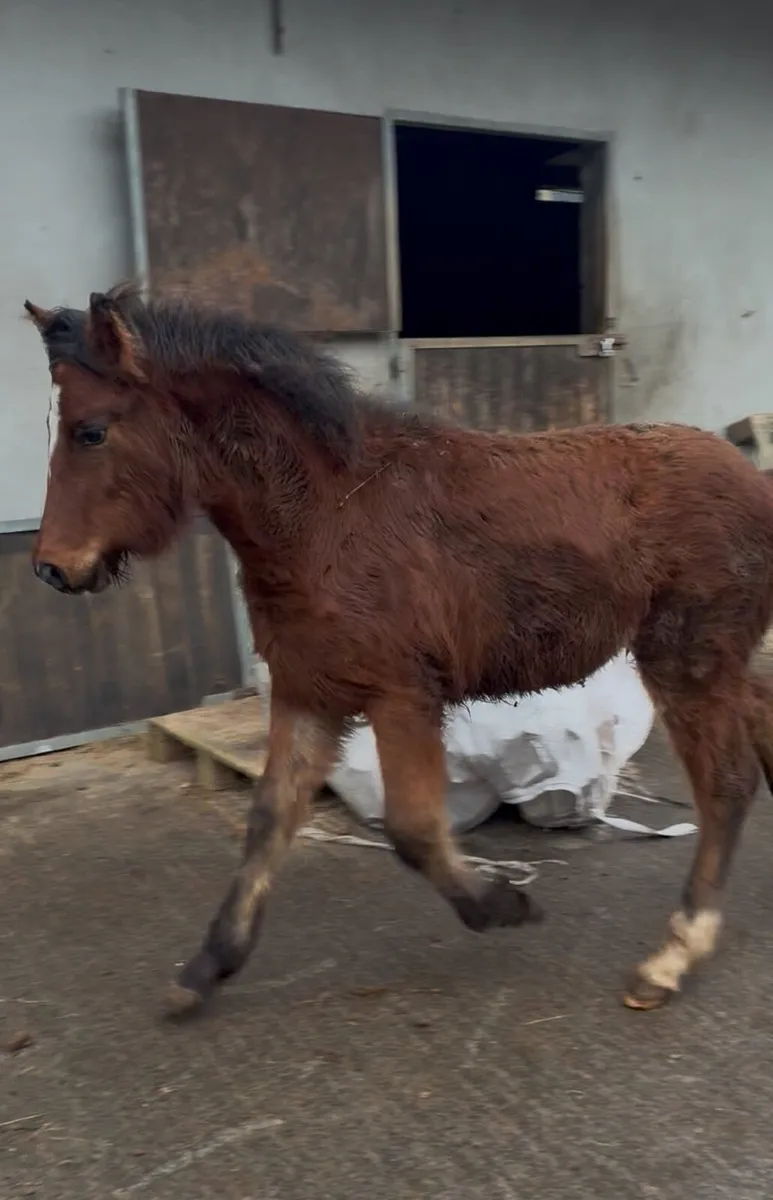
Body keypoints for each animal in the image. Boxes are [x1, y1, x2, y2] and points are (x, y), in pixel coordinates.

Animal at [23, 283, 773, 1021]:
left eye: (91, 430)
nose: (51, 569)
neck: (326, 514)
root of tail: (756, 483)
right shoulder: (307, 692)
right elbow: (268, 820)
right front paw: (207, 966)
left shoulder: (401, 695)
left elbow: (412, 830)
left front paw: (503, 904)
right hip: (726, 657)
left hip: (688, 657)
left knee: (726, 784)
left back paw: (673, 954)